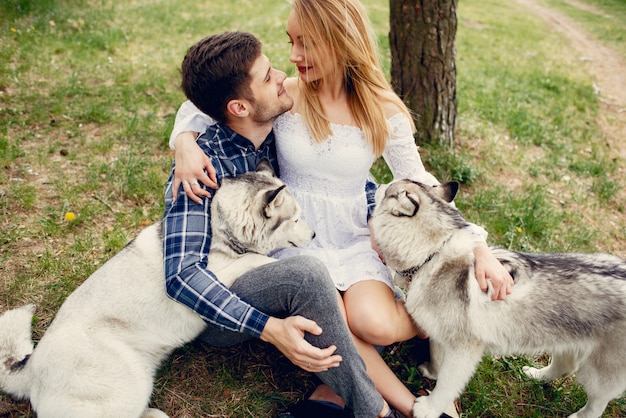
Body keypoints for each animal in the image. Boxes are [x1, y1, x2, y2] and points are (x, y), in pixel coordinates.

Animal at [0, 160, 312, 418]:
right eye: (296, 219)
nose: (314, 234)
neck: (222, 230)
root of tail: (32, 366)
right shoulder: (213, 275)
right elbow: (255, 258)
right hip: (127, 385)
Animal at [370, 180, 624, 418]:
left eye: (388, 188)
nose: (376, 184)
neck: (433, 254)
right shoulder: (440, 335)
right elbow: (436, 357)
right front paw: (432, 371)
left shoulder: (464, 351)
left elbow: (446, 386)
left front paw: (429, 408)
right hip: (565, 340)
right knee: (565, 367)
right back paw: (535, 375)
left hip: (598, 376)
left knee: (596, 405)